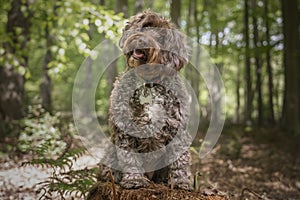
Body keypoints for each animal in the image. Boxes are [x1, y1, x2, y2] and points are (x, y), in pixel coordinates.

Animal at [98, 10, 192, 191]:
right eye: (146, 26)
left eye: (162, 37)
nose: (142, 40)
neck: (149, 83)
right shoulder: (126, 129)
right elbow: (130, 158)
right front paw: (134, 180)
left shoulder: (177, 128)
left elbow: (180, 159)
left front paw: (182, 181)